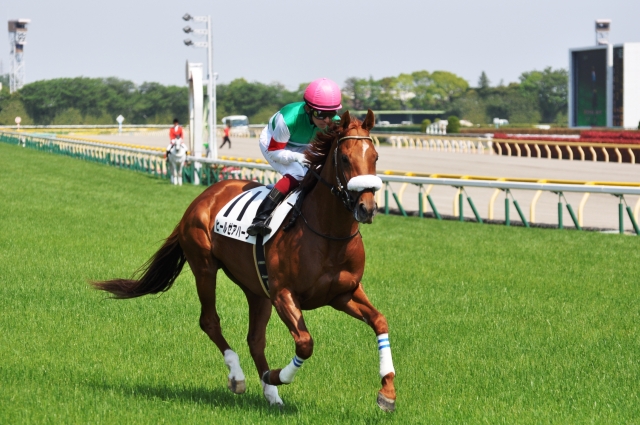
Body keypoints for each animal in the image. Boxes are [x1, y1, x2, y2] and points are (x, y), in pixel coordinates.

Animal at [92, 110, 397, 412]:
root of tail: (204, 196)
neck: (328, 234)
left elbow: (380, 321)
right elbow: (305, 343)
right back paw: (239, 377)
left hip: (256, 288)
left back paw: (271, 395)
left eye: (375, 157)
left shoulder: (343, 293)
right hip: (205, 267)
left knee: (255, 339)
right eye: (344, 158)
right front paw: (275, 375)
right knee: (210, 321)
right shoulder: (283, 293)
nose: (367, 208)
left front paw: (388, 393)